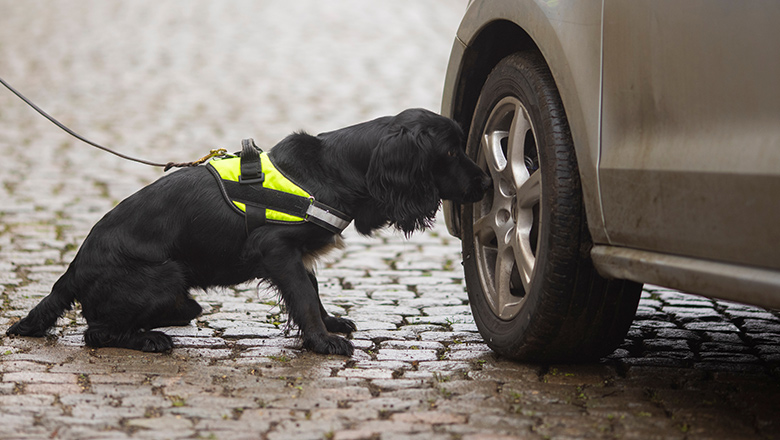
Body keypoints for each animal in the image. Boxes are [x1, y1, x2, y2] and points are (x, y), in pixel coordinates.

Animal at [7, 108, 488, 356]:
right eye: (450, 151)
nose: (485, 181)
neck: (332, 170)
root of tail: (74, 268)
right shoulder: (276, 249)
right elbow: (303, 297)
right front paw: (322, 340)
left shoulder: (295, 254)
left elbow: (311, 291)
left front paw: (330, 323)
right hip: (167, 280)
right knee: (97, 331)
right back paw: (150, 338)